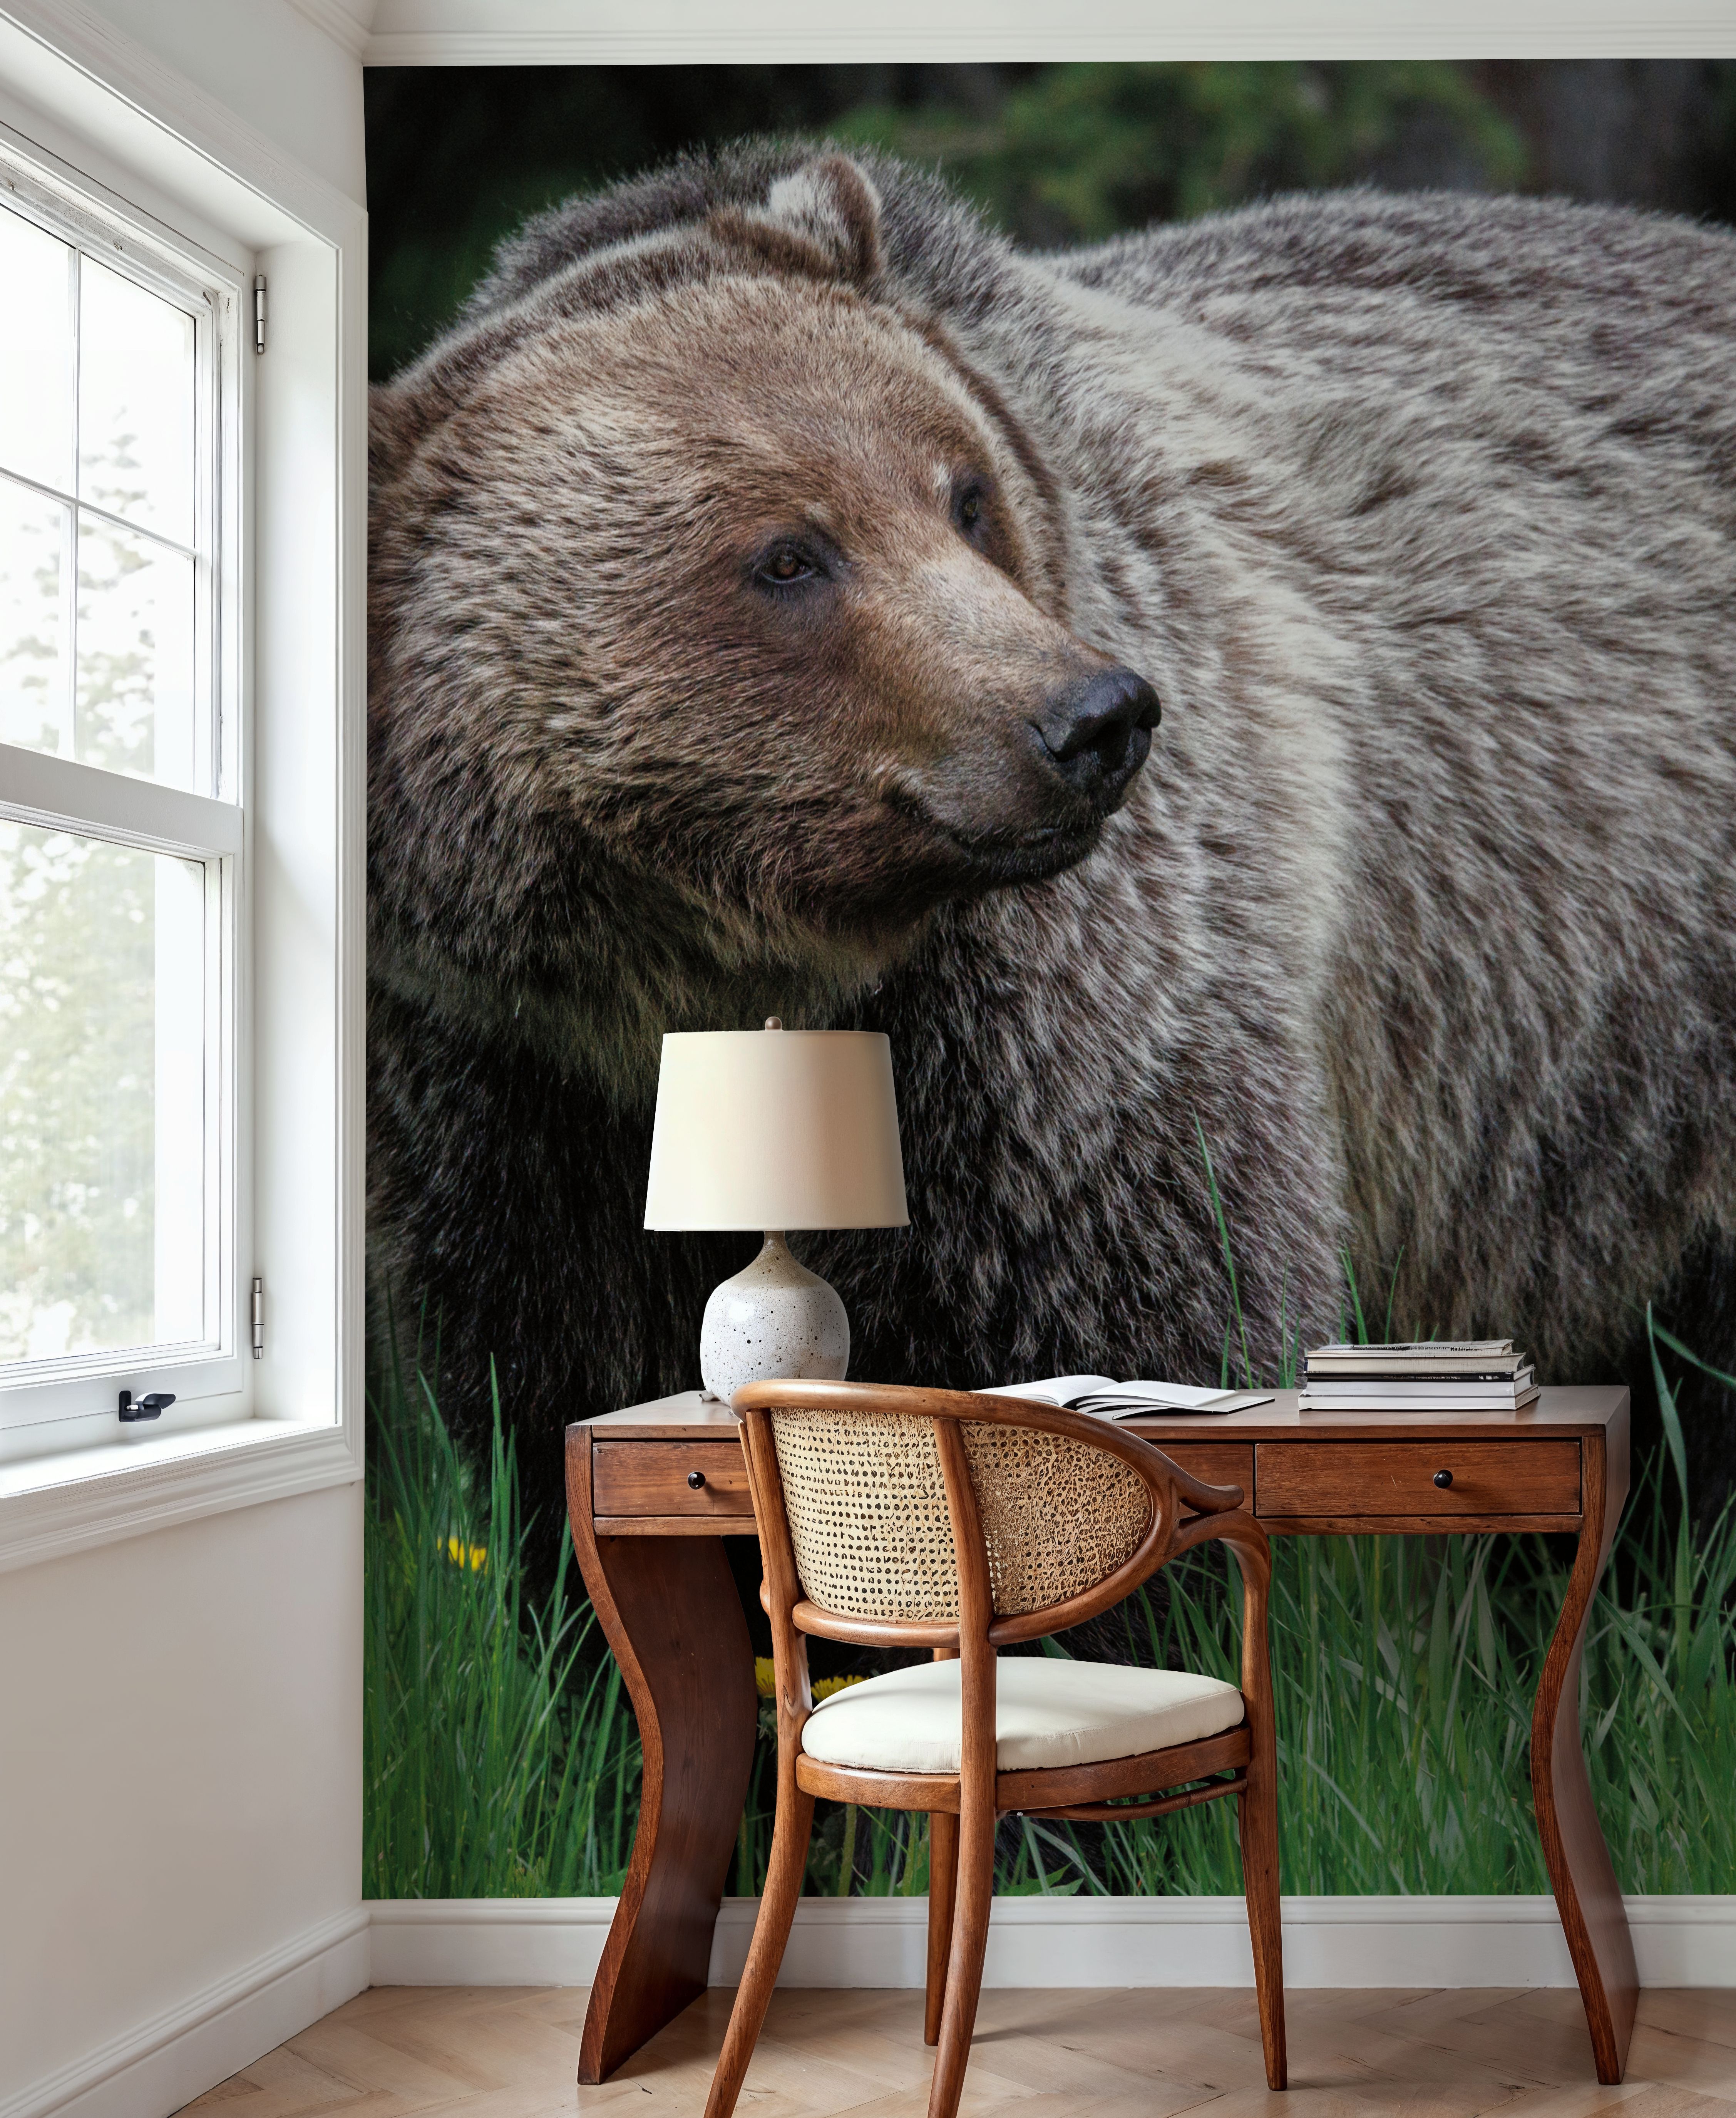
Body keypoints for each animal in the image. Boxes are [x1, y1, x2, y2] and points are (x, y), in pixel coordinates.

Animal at [368, 142, 1736, 1529]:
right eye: (787, 557)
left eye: (963, 495)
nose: (1093, 717)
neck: (688, 980)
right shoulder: (506, 1089)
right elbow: (540, 1382)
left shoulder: (1056, 1035)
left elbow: (1135, 1291)